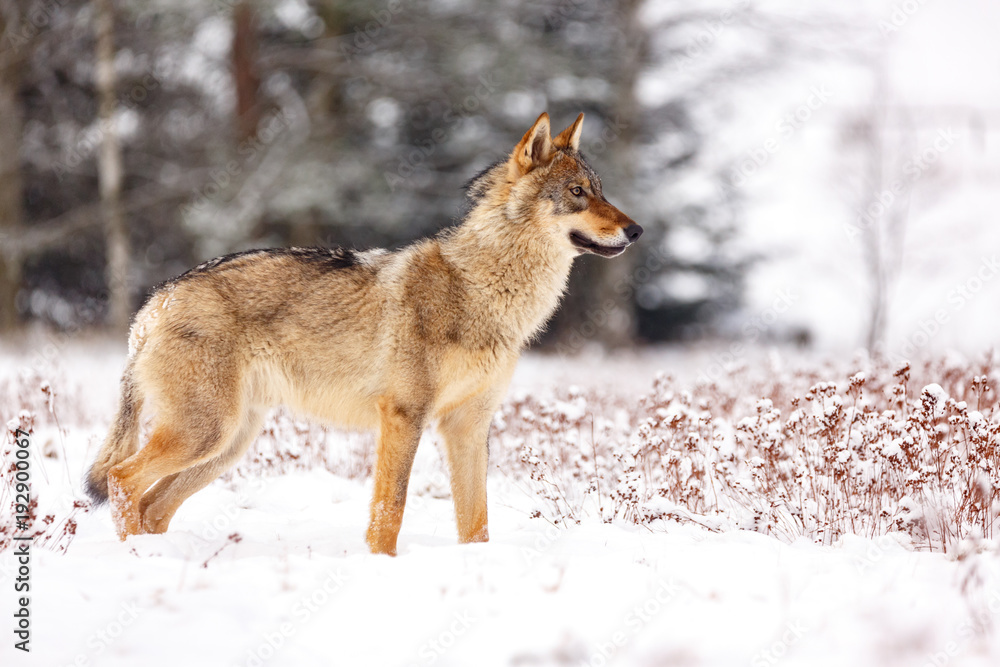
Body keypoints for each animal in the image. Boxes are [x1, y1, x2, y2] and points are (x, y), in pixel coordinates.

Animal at [85, 112, 642, 555]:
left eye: (601, 190)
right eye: (577, 193)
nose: (637, 231)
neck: (480, 288)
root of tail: (154, 303)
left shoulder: (468, 427)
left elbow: (476, 526)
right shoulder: (403, 417)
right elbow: (389, 513)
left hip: (225, 446)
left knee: (153, 505)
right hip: (205, 435)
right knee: (121, 479)